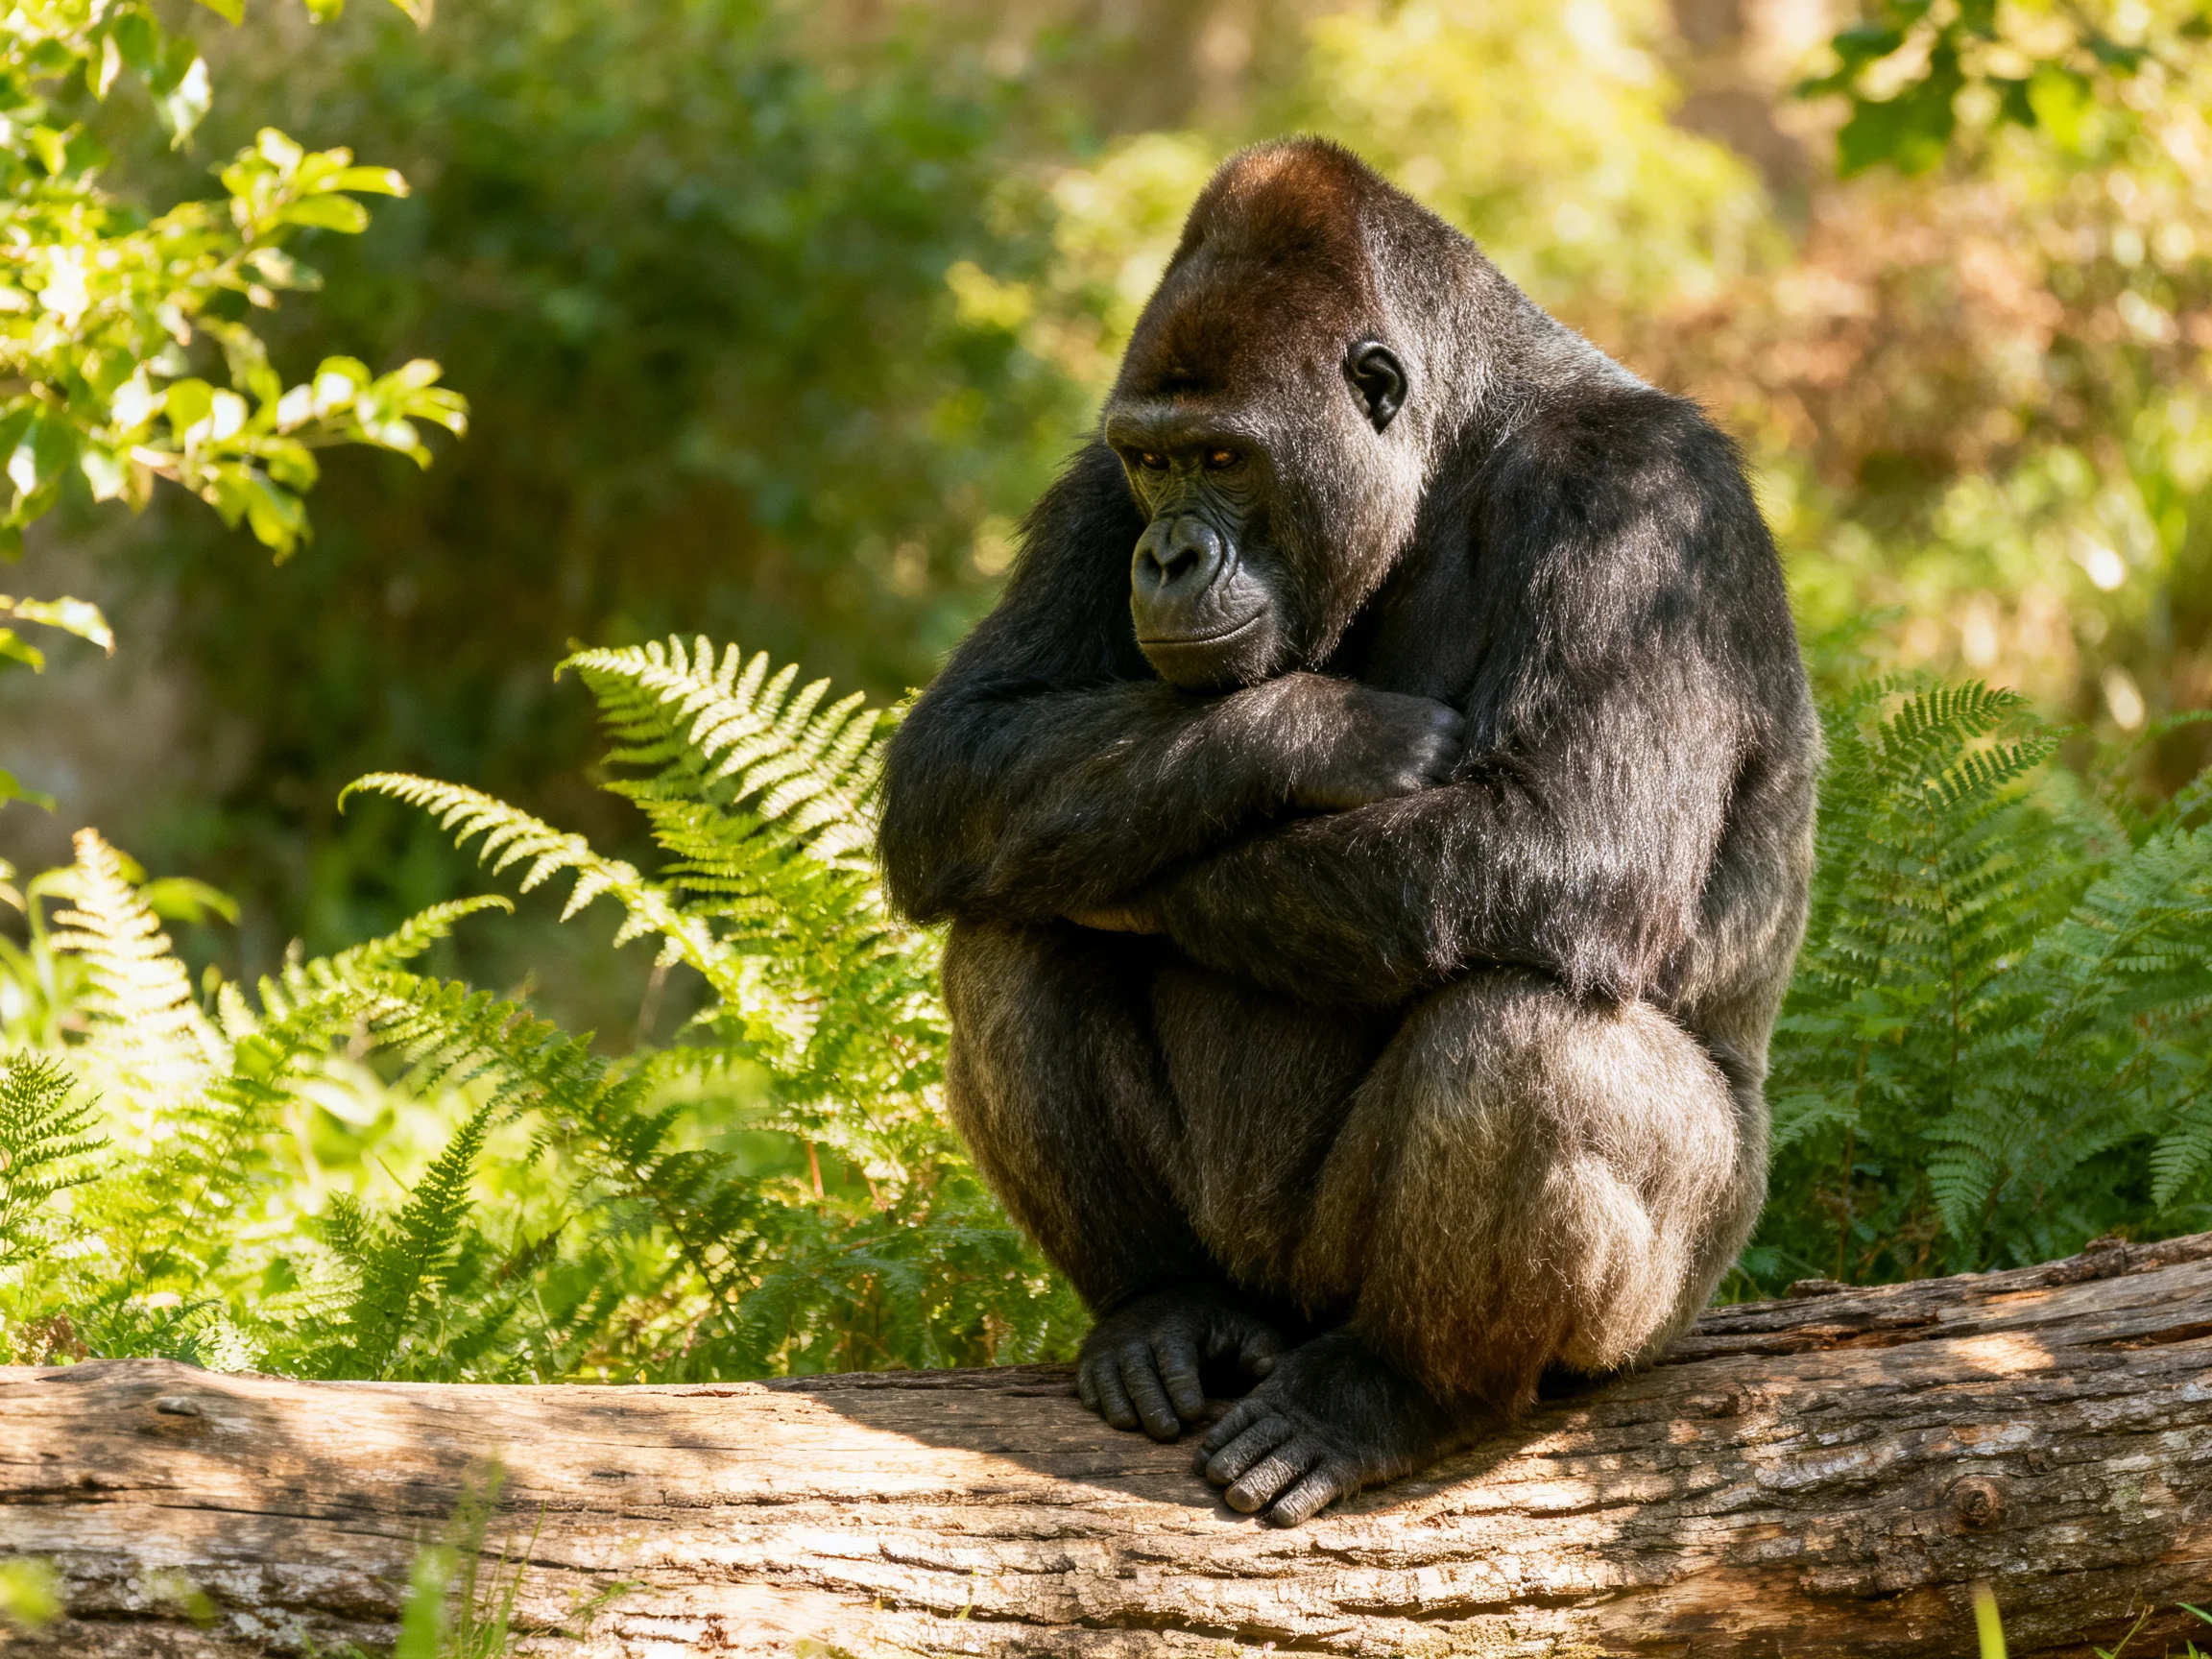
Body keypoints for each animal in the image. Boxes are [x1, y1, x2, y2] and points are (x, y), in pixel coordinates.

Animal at [875, 137, 1819, 1526]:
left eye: (1225, 461)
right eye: (1155, 462)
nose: (1166, 559)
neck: (1455, 442)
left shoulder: (1646, 501)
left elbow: (1570, 846)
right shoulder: (1092, 488)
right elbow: (960, 758)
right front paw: (1314, 732)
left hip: (1662, 1291)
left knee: (1529, 1034)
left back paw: (1400, 1386)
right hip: (1251, 1275)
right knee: (1013, 925)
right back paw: (1164, 1305)